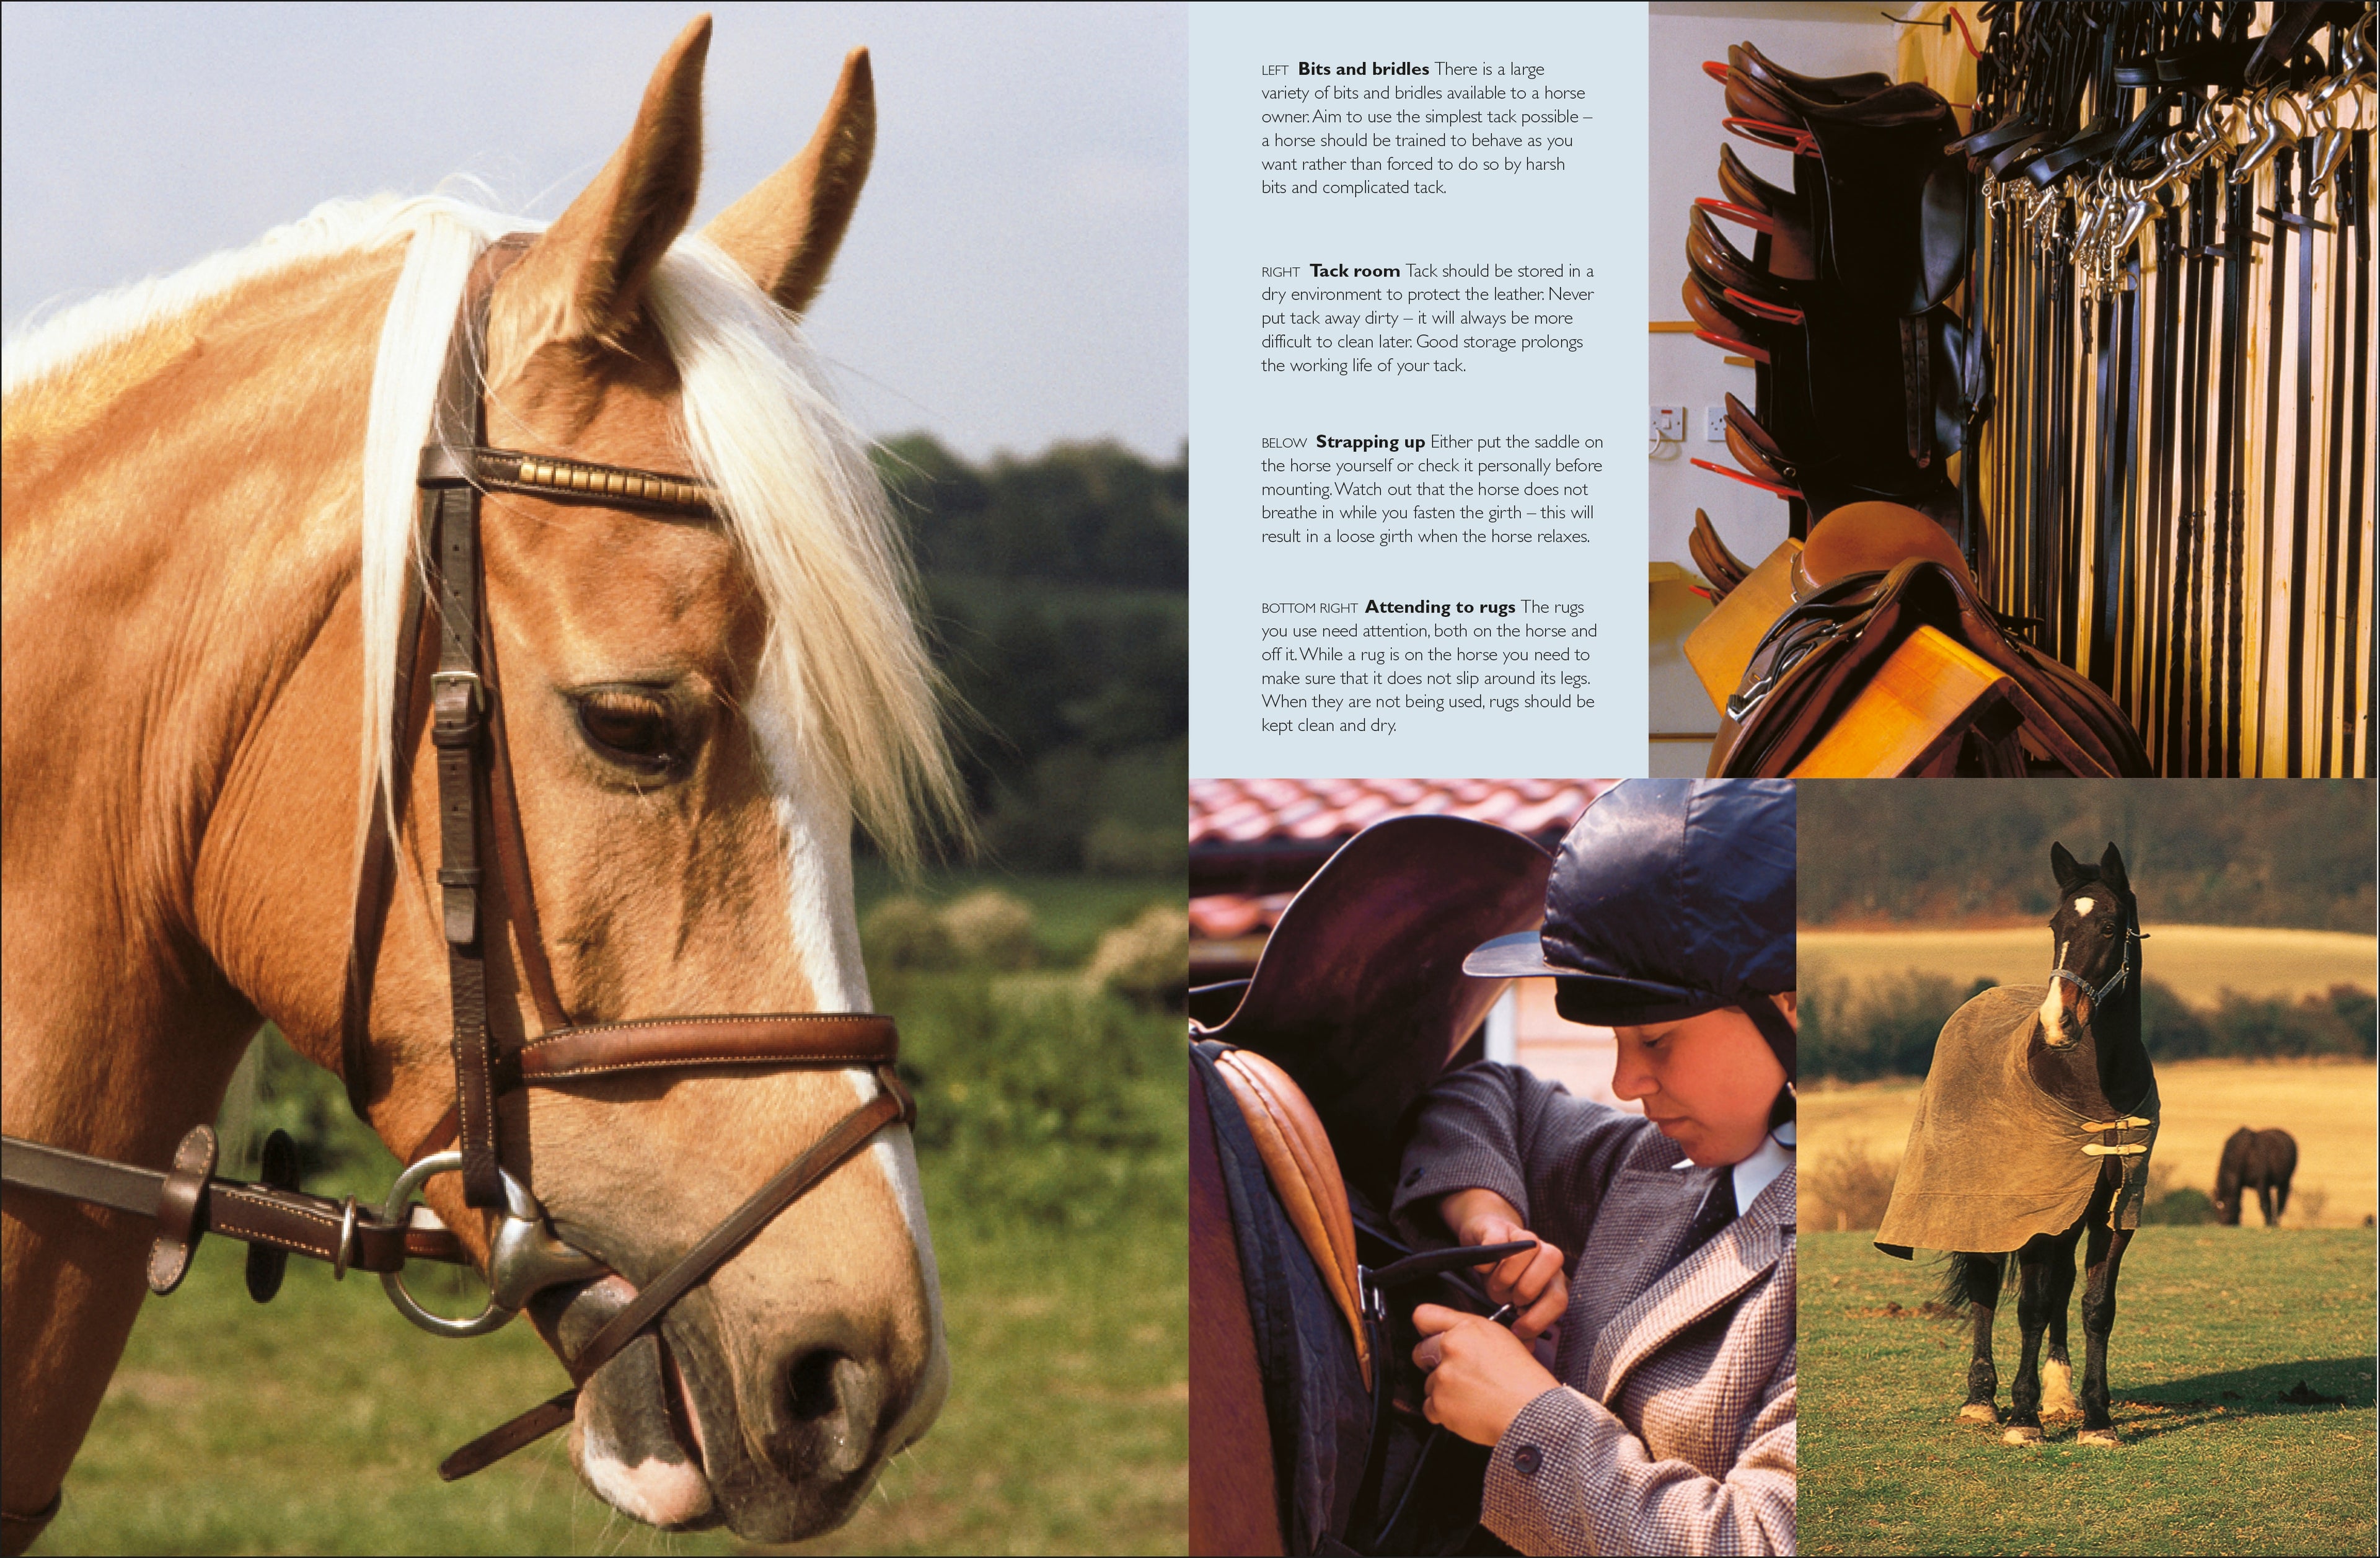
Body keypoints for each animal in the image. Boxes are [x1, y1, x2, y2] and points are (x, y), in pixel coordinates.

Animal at [1875, 841, 2157, 1448]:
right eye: (2055, 925)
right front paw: (2023, 1417)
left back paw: (2060, 1395)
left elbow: (2096, 1307)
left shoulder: (2112, 1212)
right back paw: (1982, 1399)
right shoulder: (2029, 1216)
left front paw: (2097, 1420)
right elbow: (2030, 1305)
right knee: (1986, 1288)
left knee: (2062, 1286)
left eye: (2108, 925)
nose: (2059, 1022)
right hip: (1983, 1212)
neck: (2094, 1087)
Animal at [2215, 1127, 2299, 1226]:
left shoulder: (2261, 1184)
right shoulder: (2241, 1186)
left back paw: (2276, 1222)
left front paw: (2269, 1224)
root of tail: (2289, 1138)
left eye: (2225, 1206)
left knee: (2281, 1202)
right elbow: (2239, 1204)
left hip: (2284, 1183)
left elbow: (2265, 1204)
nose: (2224, 1224)